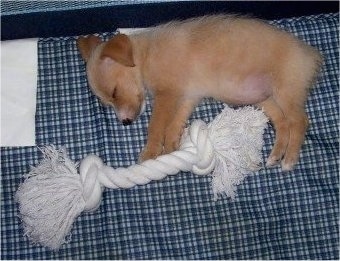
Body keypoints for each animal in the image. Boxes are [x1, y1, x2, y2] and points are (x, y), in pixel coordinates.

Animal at [76, 14, 322, 171]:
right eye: (108, 102)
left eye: (115, 92)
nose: (125, 122)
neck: (144, 55)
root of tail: (310, 53)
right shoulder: (187, 96)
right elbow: (175, 122)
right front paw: (171, 145)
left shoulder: (167, 95)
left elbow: (156, 125)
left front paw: (151, 150)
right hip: (266, 99)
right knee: (283, 123)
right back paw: (276, 155)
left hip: (285, 91)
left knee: (299, 121)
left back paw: (289, 159)